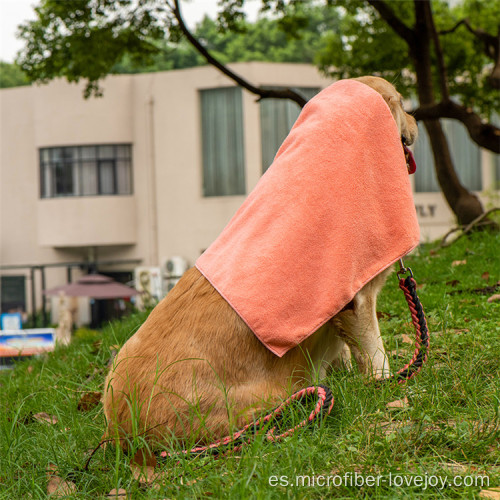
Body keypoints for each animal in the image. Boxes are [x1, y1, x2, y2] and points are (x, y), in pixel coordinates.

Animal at [103, 77, 420, 446]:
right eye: (402, 103)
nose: (417, 122)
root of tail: (122, 432)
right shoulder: (357, 298)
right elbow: (375, 353)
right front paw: (384, 383)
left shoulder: (337, 305)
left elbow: (345, 351)